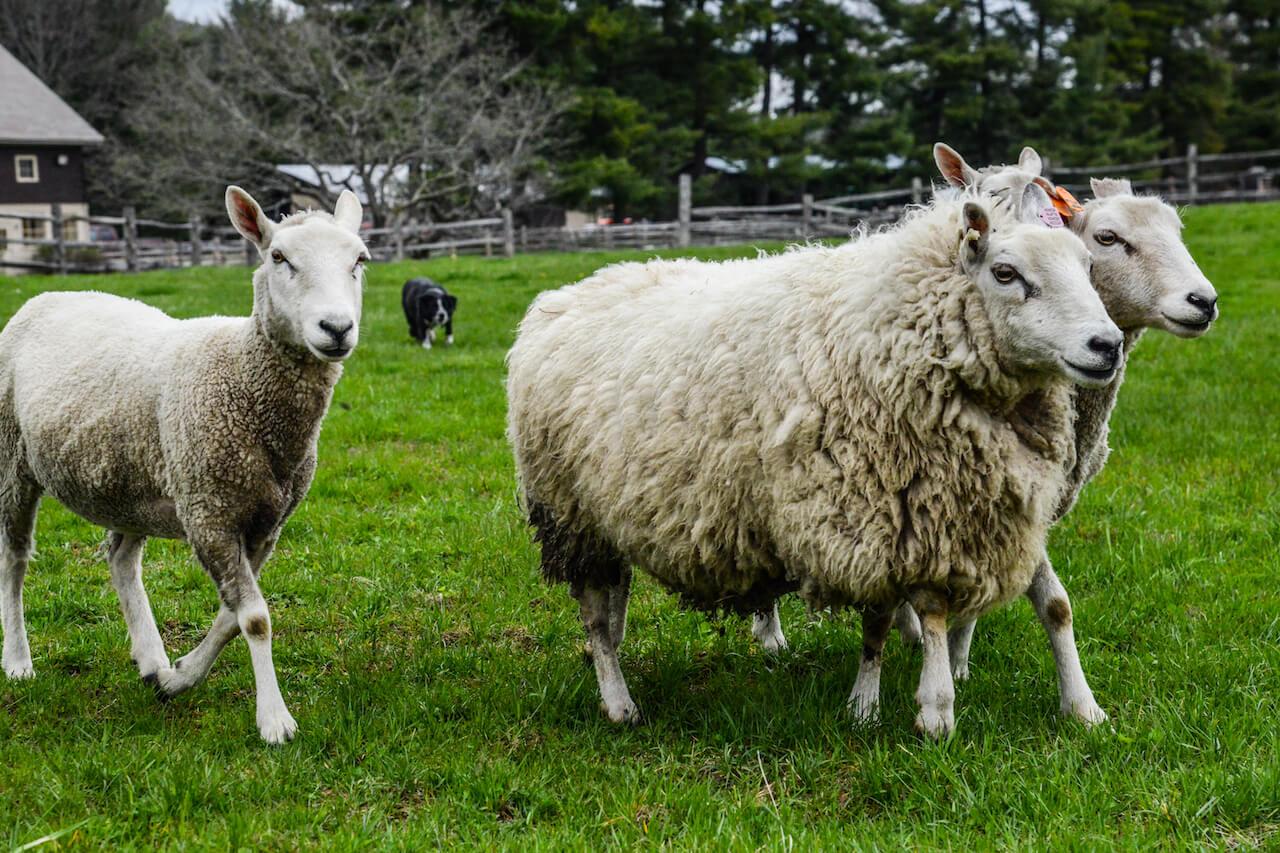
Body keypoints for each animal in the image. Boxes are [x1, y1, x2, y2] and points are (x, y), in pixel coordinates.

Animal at [0, 186, 368, 744]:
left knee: (120, 559)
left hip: (131, 479)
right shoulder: (208, 512)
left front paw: (178, 678)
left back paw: (151, 657)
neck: (243, 377)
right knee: (15, 560)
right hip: (12, 460)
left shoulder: (265, 523)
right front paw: (274, 720)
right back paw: (19, 660)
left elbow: (231, 617)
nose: (337, 328)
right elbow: (254, 618)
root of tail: (49, 296)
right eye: (279, 257)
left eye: (359, 261)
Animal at [507, 186, 1123, 737]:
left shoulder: (913, 513)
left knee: (614, 599)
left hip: (606, 512)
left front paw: (873, 705)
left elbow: (903, 618)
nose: (1107, 345)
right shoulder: (890, 510)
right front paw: (931, 711)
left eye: (1088, 265)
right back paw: (618, 703)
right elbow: (919, 612)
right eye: (1005, 273)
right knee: (593, 609)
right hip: (568, 512)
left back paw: (607, 660)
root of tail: (561, 296)